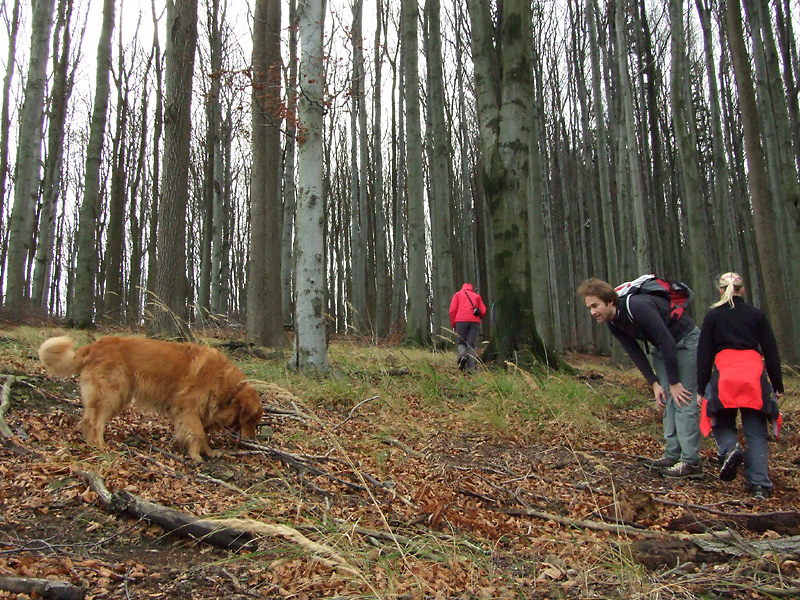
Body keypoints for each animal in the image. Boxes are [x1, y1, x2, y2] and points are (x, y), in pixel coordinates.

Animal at [38, 336, 262, 462]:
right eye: (250, 420)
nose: (251, 440)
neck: (227, 385)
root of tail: (94, 345)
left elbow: (202, 435)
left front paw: (209, 452)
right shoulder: (188, 408)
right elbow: (198, 433)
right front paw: (196, 456)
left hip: (116, 397)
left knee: (87, 419)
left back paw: (91, 444)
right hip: (113, 394)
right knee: (95, 422)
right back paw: (101, 446)